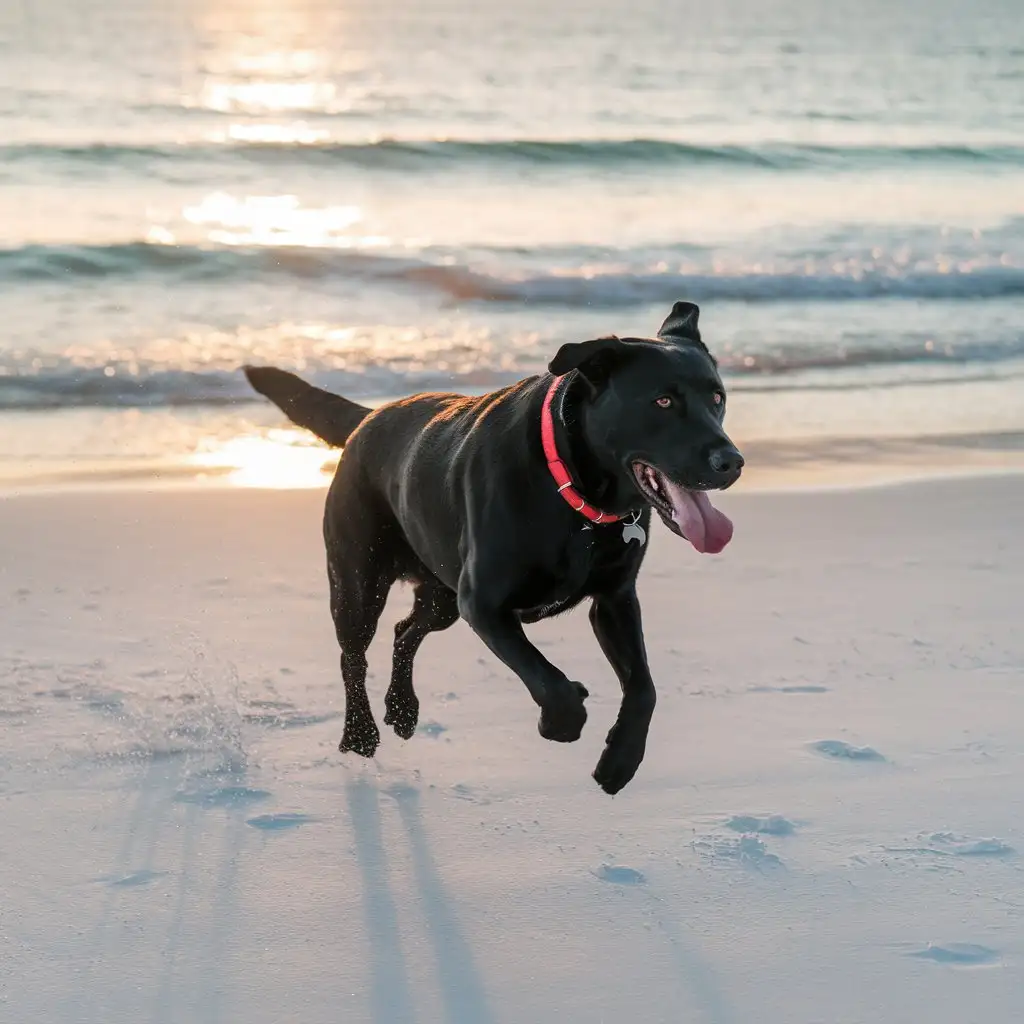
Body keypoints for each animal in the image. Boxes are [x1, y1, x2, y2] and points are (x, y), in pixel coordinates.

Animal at [247, 299, 745, 794]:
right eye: (663, 401)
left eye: (717, 398)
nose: (732, 462)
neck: (574, 492)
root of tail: (366, 420)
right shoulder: (483, 604)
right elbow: (549, 680)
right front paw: (561, 721)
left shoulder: (614, 600)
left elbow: (644, 688)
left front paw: (620, 762)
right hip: (360, 582)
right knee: (353, 653)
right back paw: (360, 734)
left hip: (442, 596)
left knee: (405, 631)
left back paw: (403, 710)